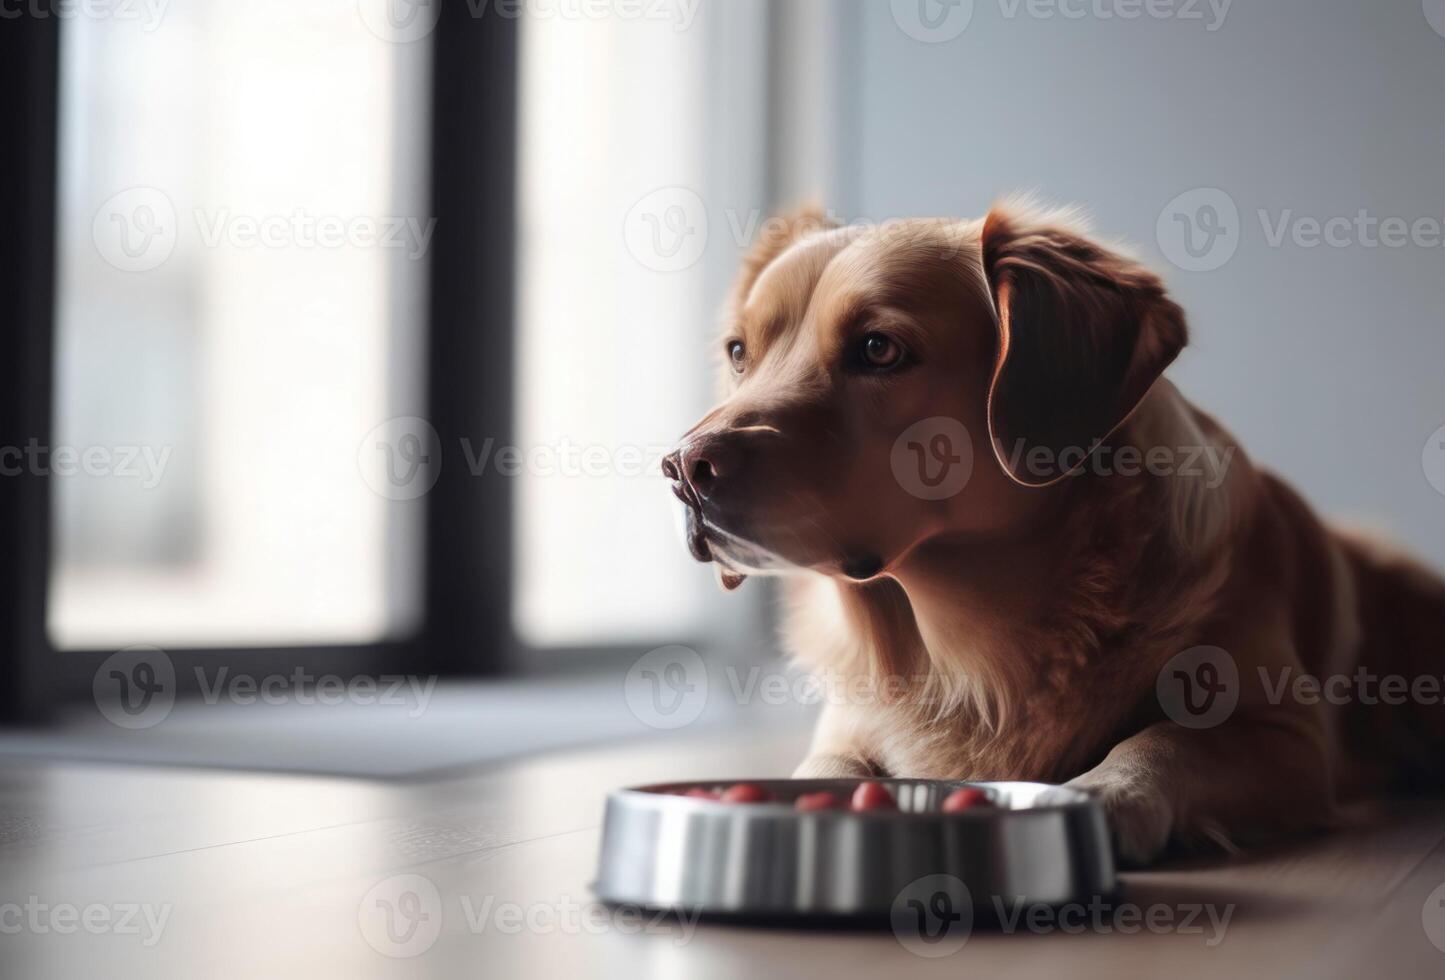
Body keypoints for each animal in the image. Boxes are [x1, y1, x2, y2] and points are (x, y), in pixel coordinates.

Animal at [661, 200, 1445, 867]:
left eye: (879, 349)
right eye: (738, 351)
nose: (683, 470)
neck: (964, 651)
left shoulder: (1287, 735)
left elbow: (1165, 738)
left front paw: (1108, 793)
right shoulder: (846, 727)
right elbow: (823, 766)